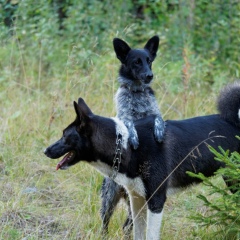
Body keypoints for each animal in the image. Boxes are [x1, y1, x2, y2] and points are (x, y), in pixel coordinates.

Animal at [44, 82, 240, 240]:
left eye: (65, 136)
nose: (45, 151)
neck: (125, 145)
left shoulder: (156, 201)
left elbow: (150, 235)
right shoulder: (136, 200)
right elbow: (136, 234)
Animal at [100, 35, 166, 234]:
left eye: (149, 61)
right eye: (136, 62)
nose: (149, 76)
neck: (138, 93)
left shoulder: (154, 113)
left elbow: (158, 118)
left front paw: (159, 130)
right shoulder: (124, 118)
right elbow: (129, 124)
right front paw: (135, 137)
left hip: (136, 204)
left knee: (128, 227)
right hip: (109, 198)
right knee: (105, 223)